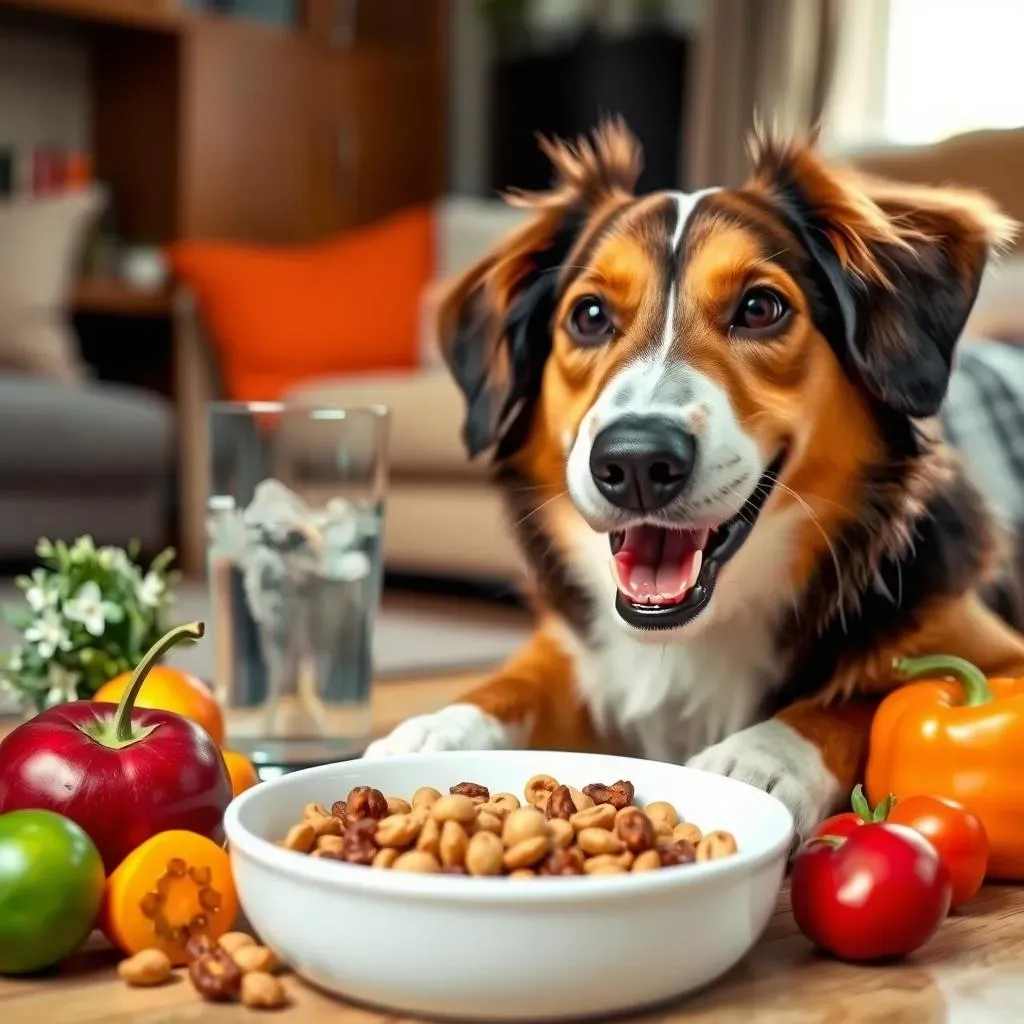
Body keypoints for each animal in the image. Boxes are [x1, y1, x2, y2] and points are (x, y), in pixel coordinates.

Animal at [364, 119, 1024, 839]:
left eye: (761, 307)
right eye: (588, 316)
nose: (635, 463)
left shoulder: (994, 655)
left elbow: (864, 694)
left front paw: (762, 756)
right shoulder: (578, 647)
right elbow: (519, 681)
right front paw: (441, 729)